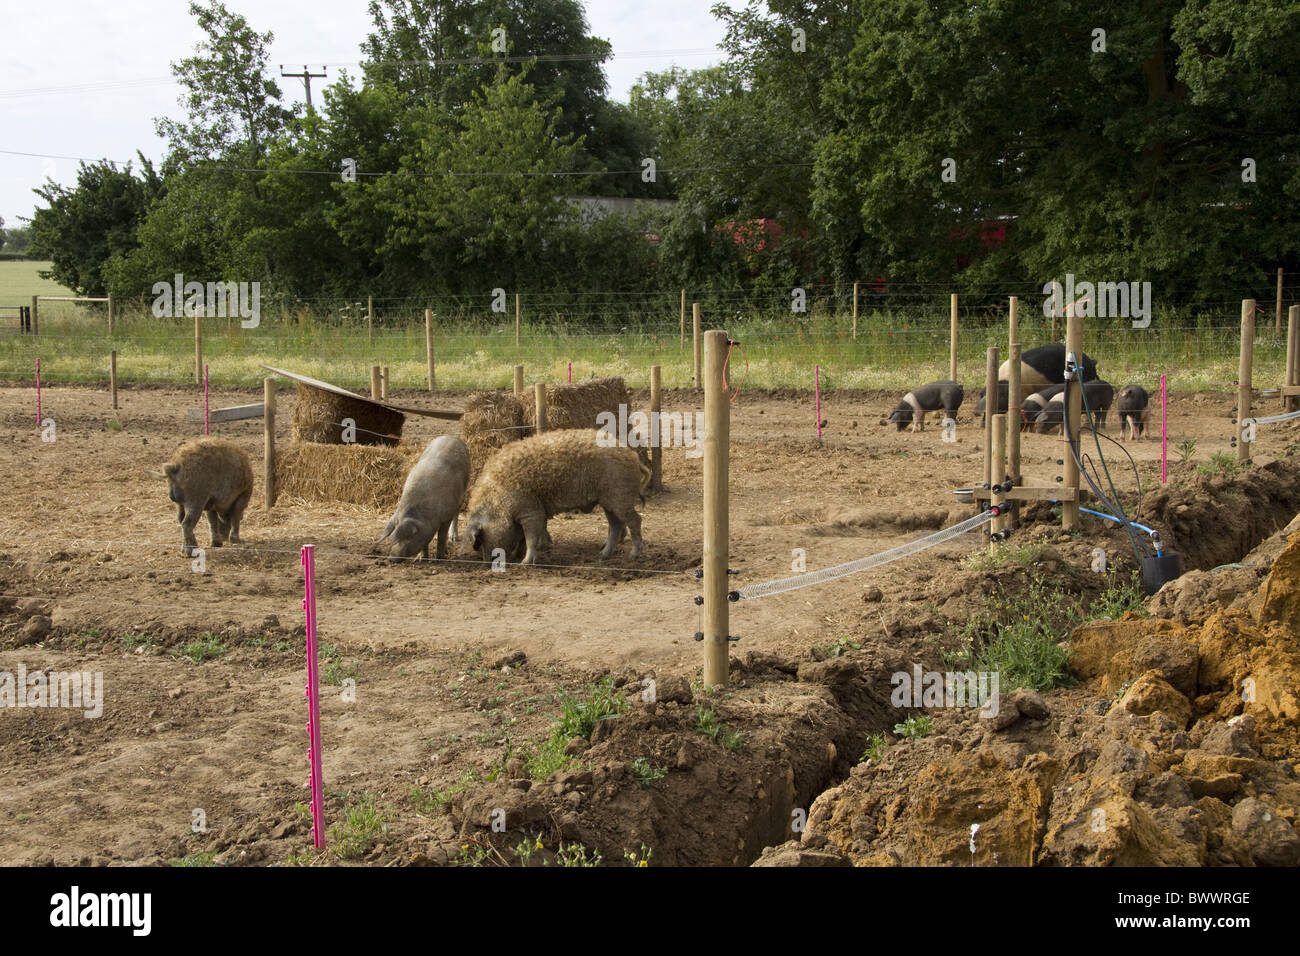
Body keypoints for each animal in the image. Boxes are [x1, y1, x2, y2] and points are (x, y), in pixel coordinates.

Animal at [467, 429, 650, 567]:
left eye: (480, 538)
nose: (487, 564)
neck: (497, 499)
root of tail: (633, 456)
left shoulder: (530, 510)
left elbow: (531, 537)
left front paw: (524, 563)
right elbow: (522, 538)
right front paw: (516, 557)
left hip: (620, 496)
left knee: (635, 520)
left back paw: (632, 556)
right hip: (608, 501)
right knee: (615, 525)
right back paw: (600, 556)